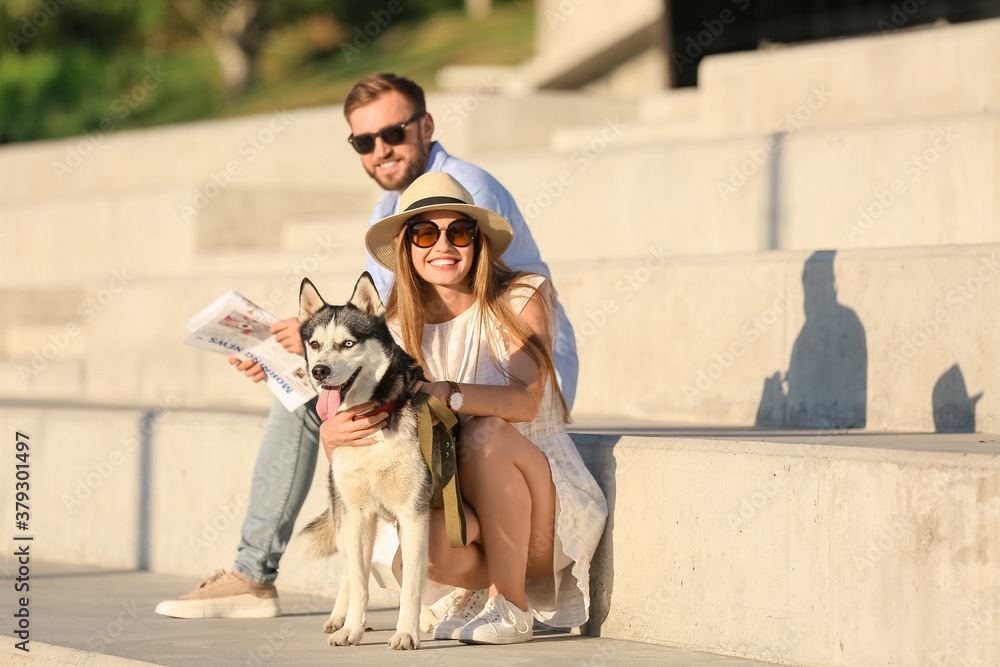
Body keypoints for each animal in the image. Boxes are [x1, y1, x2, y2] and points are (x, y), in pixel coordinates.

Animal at [298, 272, 436, 652]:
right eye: (315, 344)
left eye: (348, 343)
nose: (320, 370)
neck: (371, 419)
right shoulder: (357, 515)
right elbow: (360, 581)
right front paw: (352, 629)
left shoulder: (414, 515)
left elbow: (412, 584)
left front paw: (407, 632)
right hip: (345, 515)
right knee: (349, 568)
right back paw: (338, 618)